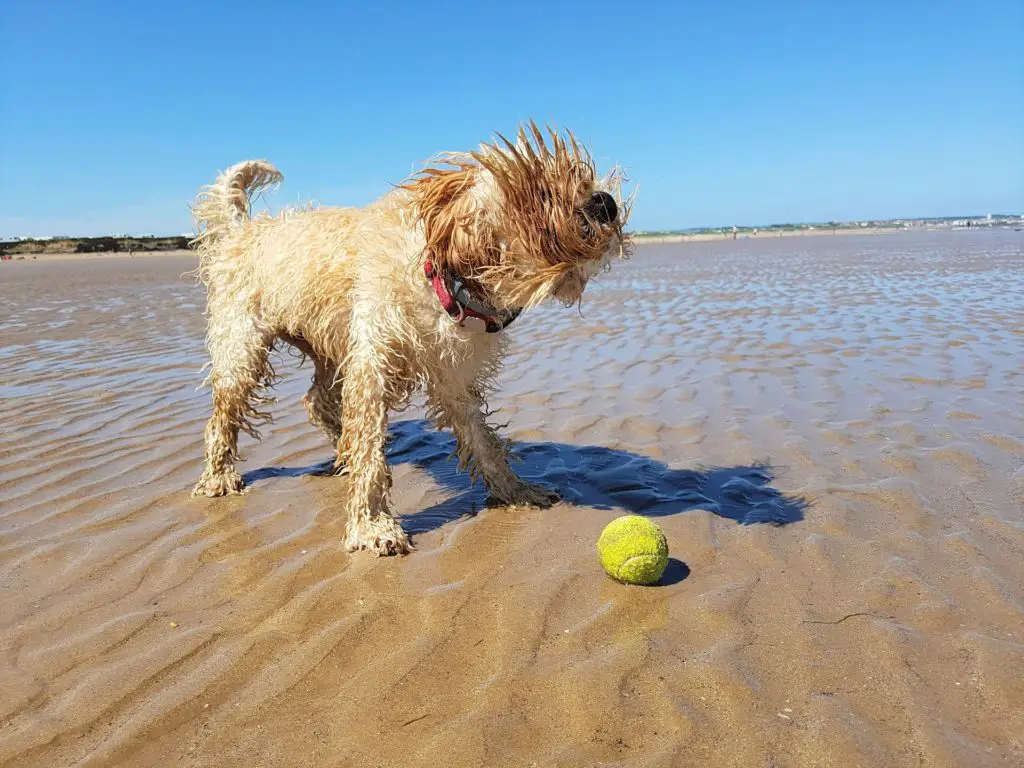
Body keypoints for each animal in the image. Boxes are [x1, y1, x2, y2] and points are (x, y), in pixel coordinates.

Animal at [188, 124, 626, 561]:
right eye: (542, 192)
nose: (605, 202)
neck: (444, 283)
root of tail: (243, 231)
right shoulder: (373, 364)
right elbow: (369, 447)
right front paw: (373, 525)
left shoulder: (452, 377)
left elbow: (482, 440)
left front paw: (515, 490)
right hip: (244, 349)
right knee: (224, 415)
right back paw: (219, 476)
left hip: (329, 342)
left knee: (316, 399)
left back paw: (339, 447)